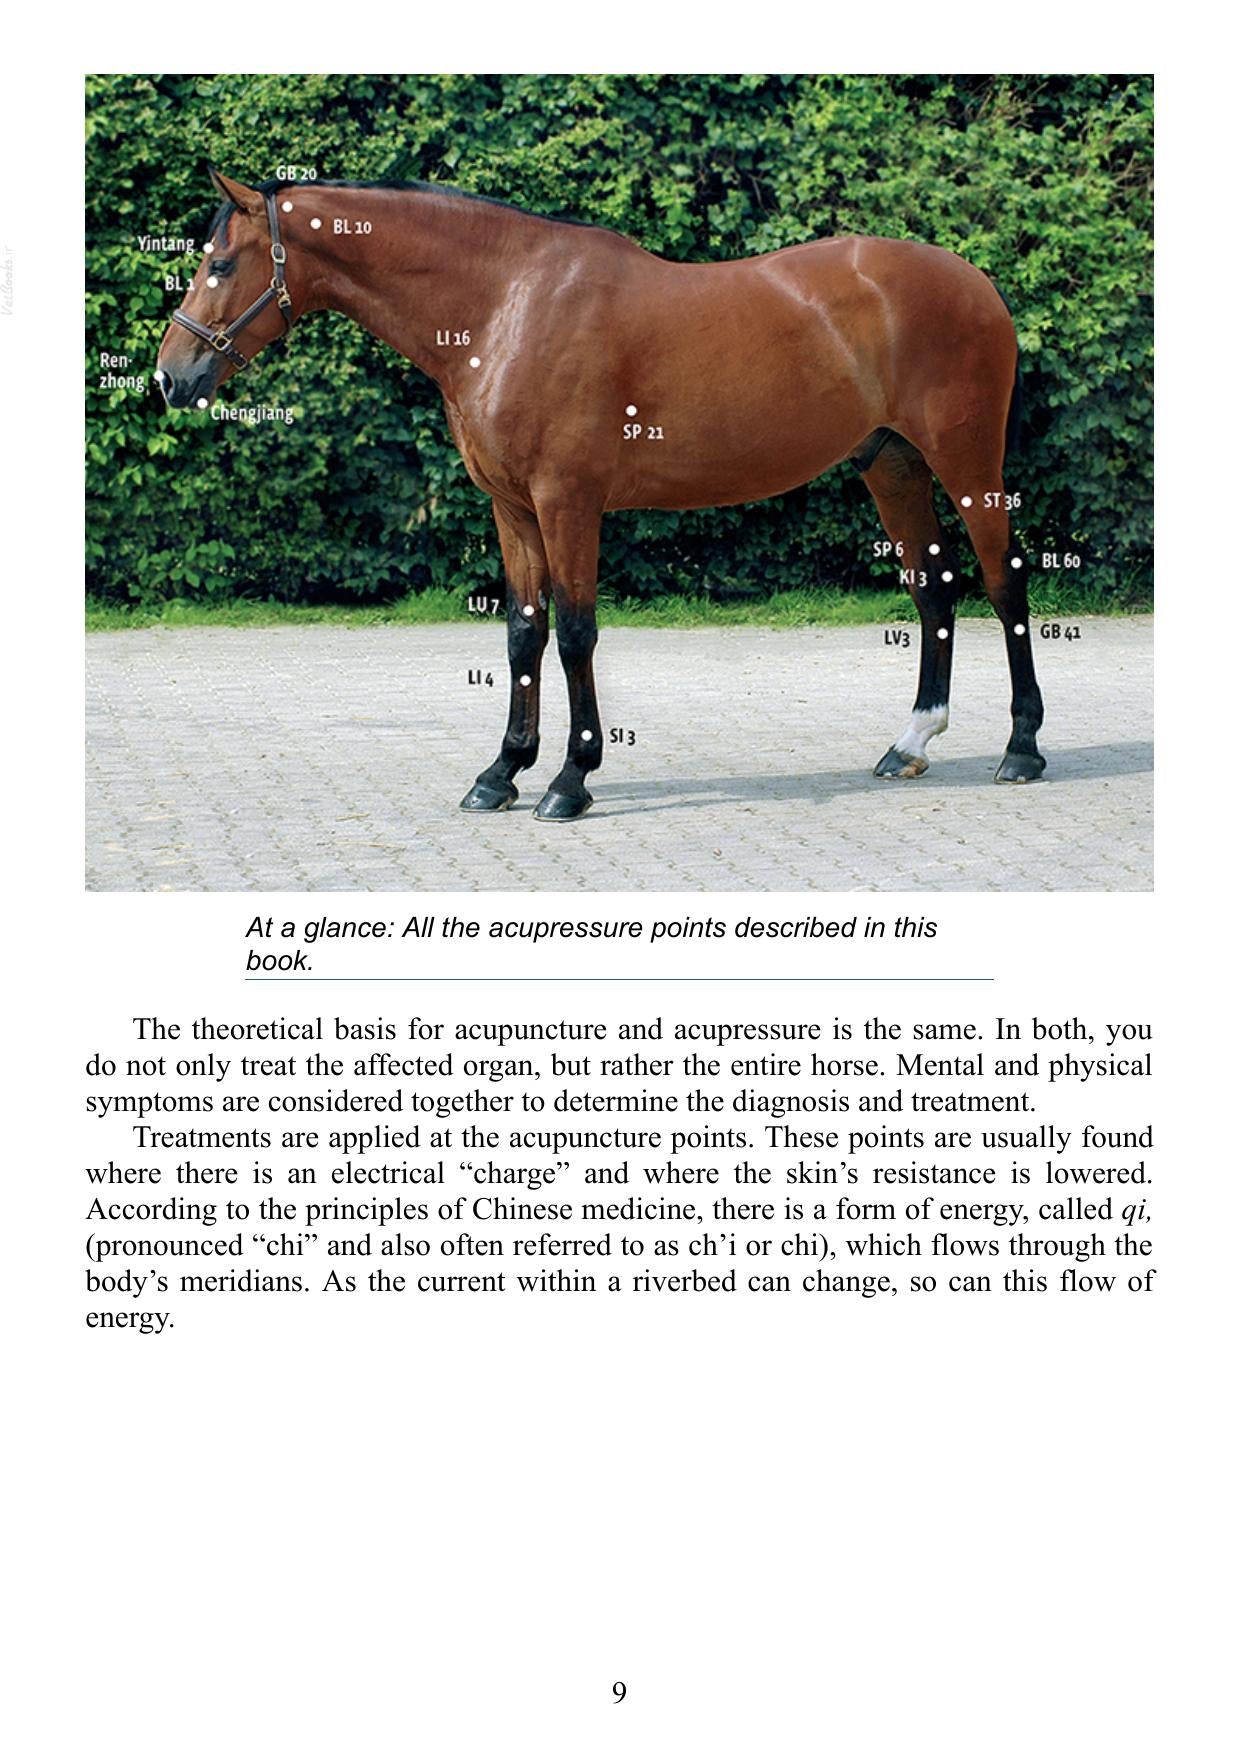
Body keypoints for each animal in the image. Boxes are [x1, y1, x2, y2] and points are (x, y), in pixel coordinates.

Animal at [156, 169, 1045, 822]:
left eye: (220, 265)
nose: (171, 377)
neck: (502, 308)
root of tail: (977, 282)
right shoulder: (513, 509)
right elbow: (522, 633)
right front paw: (500, 772)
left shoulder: (567, 503)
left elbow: (576, 634)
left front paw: (568, 780)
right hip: (890, 464)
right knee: (934, 588)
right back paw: (911, 743)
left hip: (967, 463)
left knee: (1003, 582)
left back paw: (1022, 750)